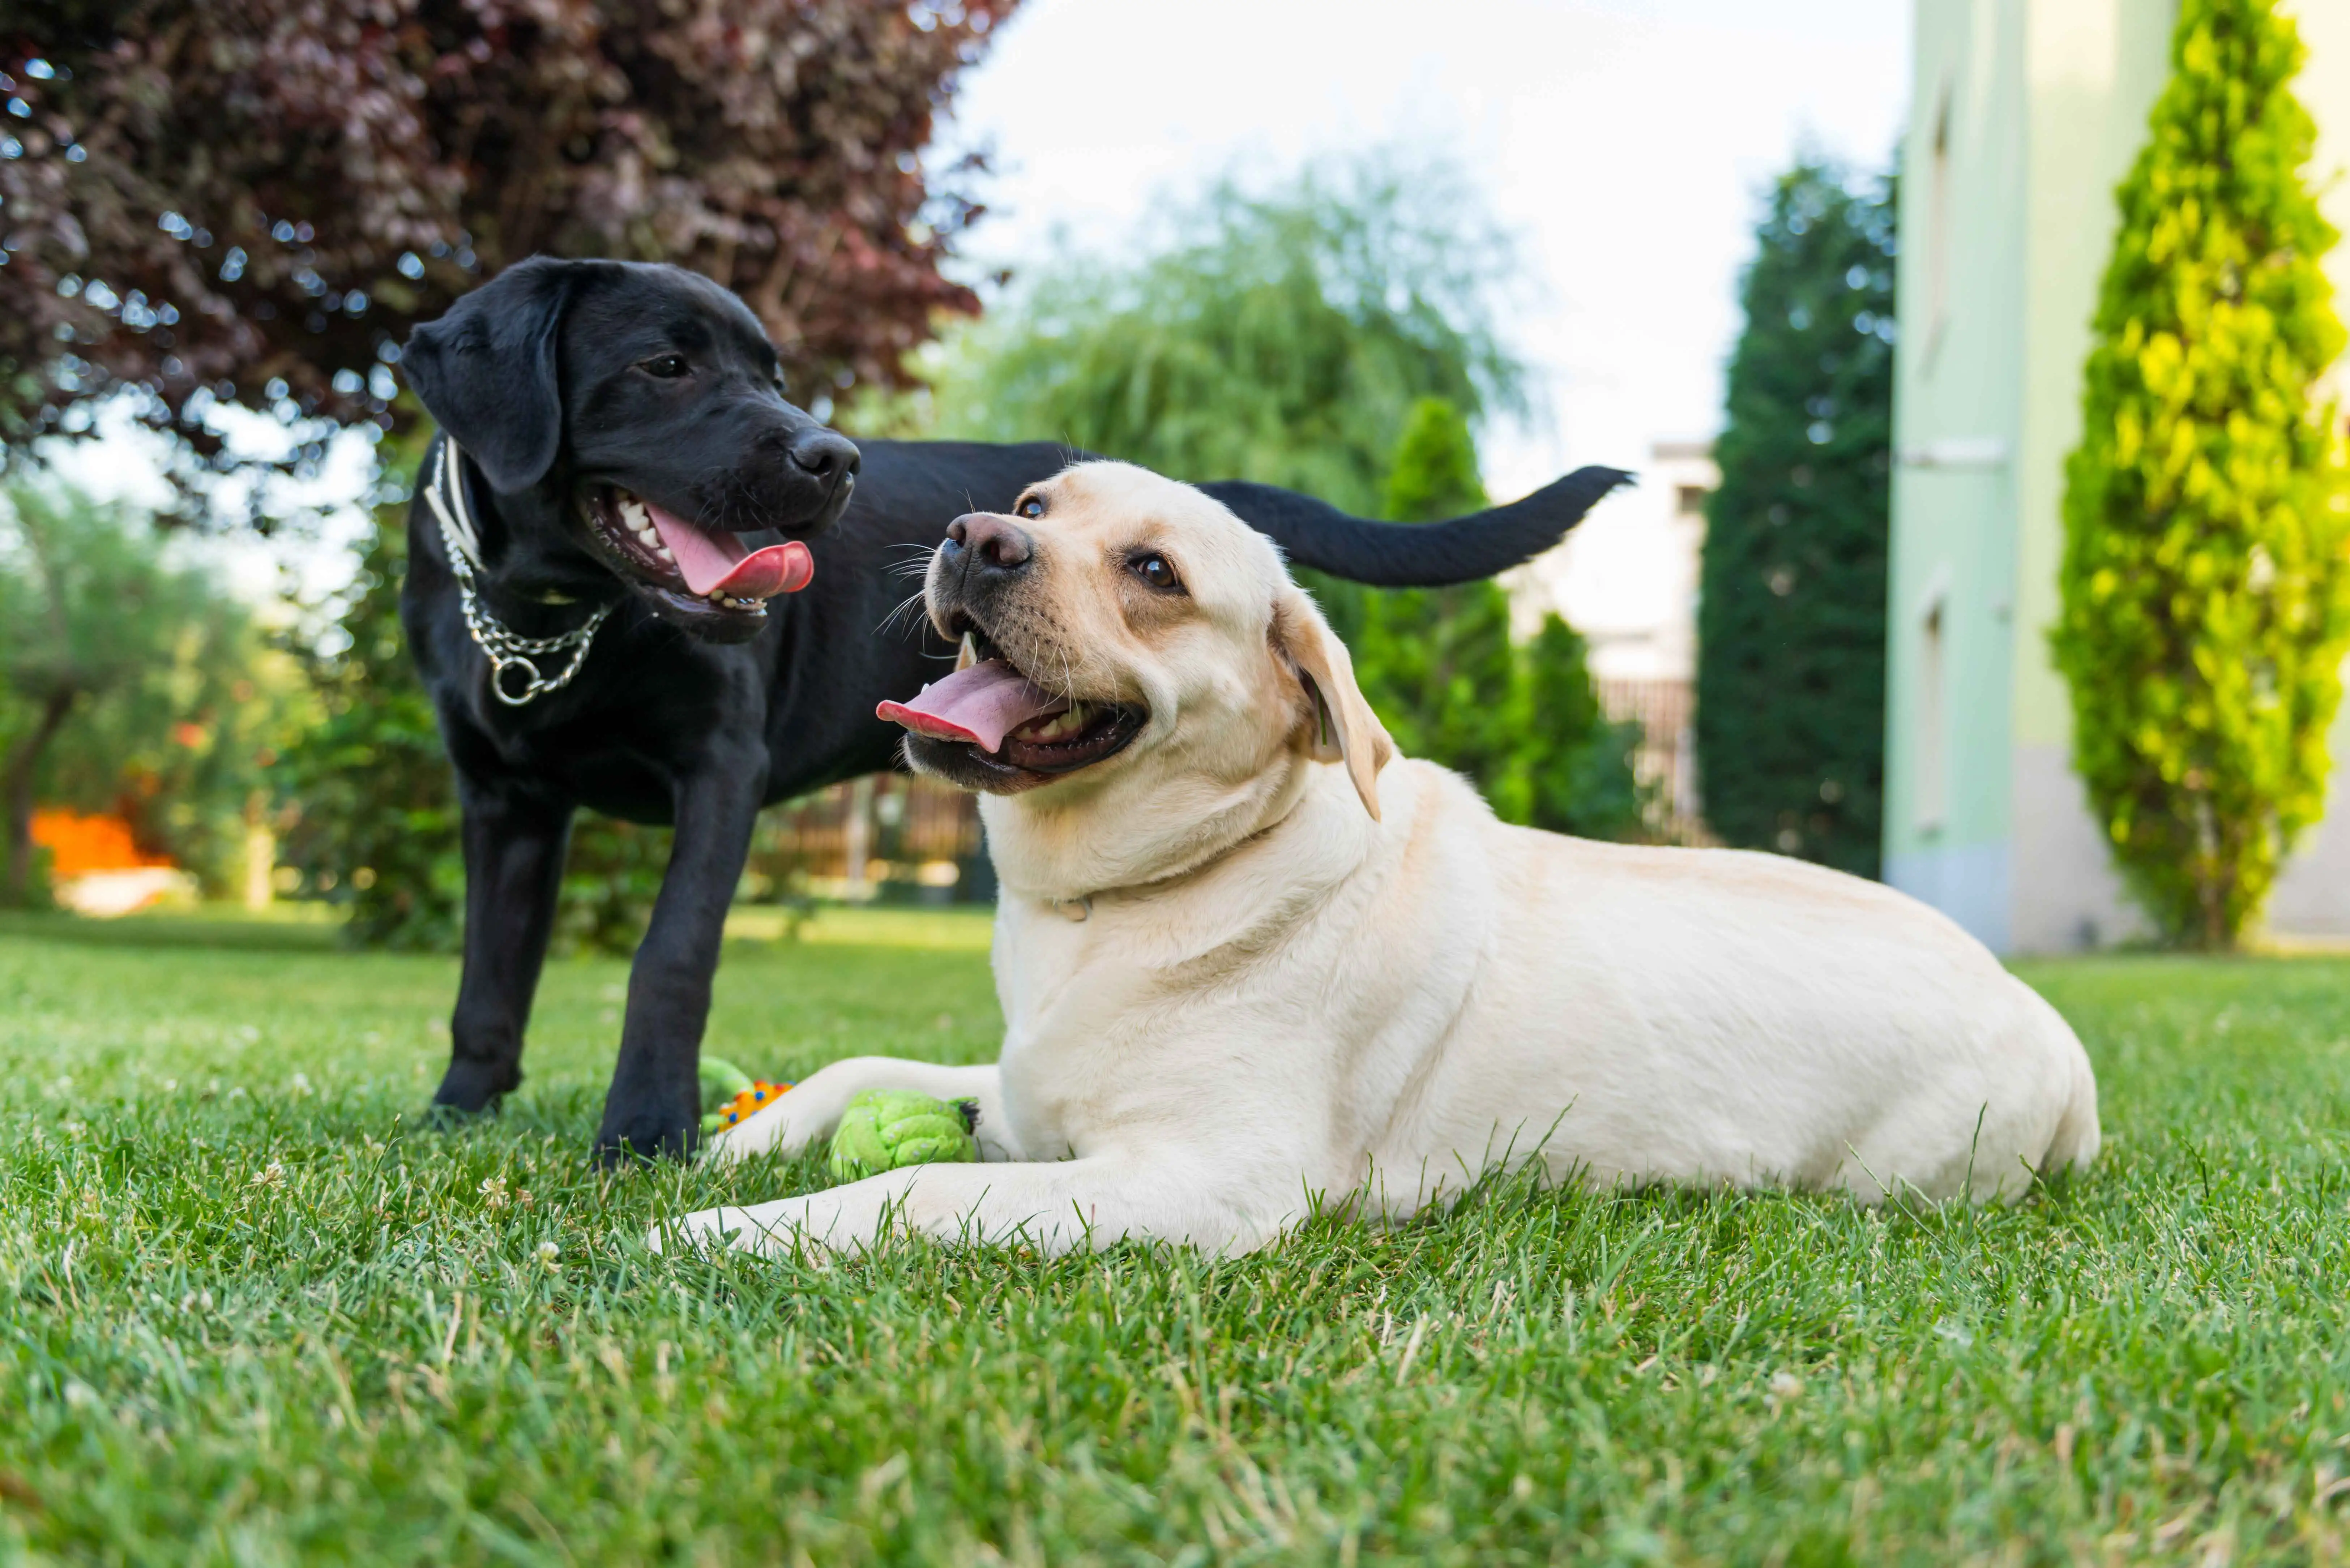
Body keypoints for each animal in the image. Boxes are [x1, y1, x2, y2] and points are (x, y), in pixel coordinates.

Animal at [395, 257, 1626, 1161]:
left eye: (772, 371)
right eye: (665, 365)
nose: (833, 456)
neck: (555, 616)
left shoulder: (720, 773)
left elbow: (669, 957)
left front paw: (644, 1129)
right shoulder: (501, 801)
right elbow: (487, 974)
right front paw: (457, 1111)